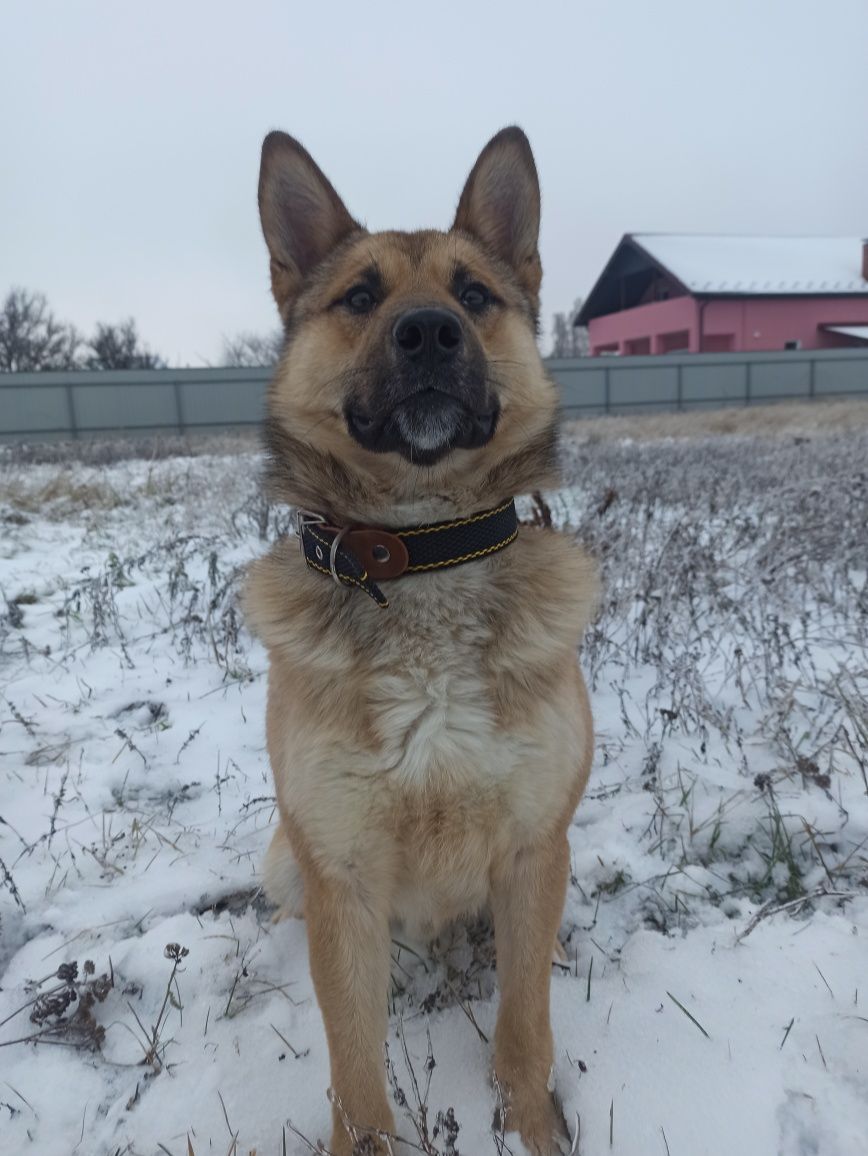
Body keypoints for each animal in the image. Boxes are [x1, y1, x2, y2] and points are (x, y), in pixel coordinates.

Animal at [245, 126, 596, 1156]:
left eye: (473, 295)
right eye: (360, 297)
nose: (430, 331)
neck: (421, 548)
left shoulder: (533, 849)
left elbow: (526, 1023)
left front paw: (532, 1126)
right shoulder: (345, 875)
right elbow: (356, 1067)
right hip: (289, 859)